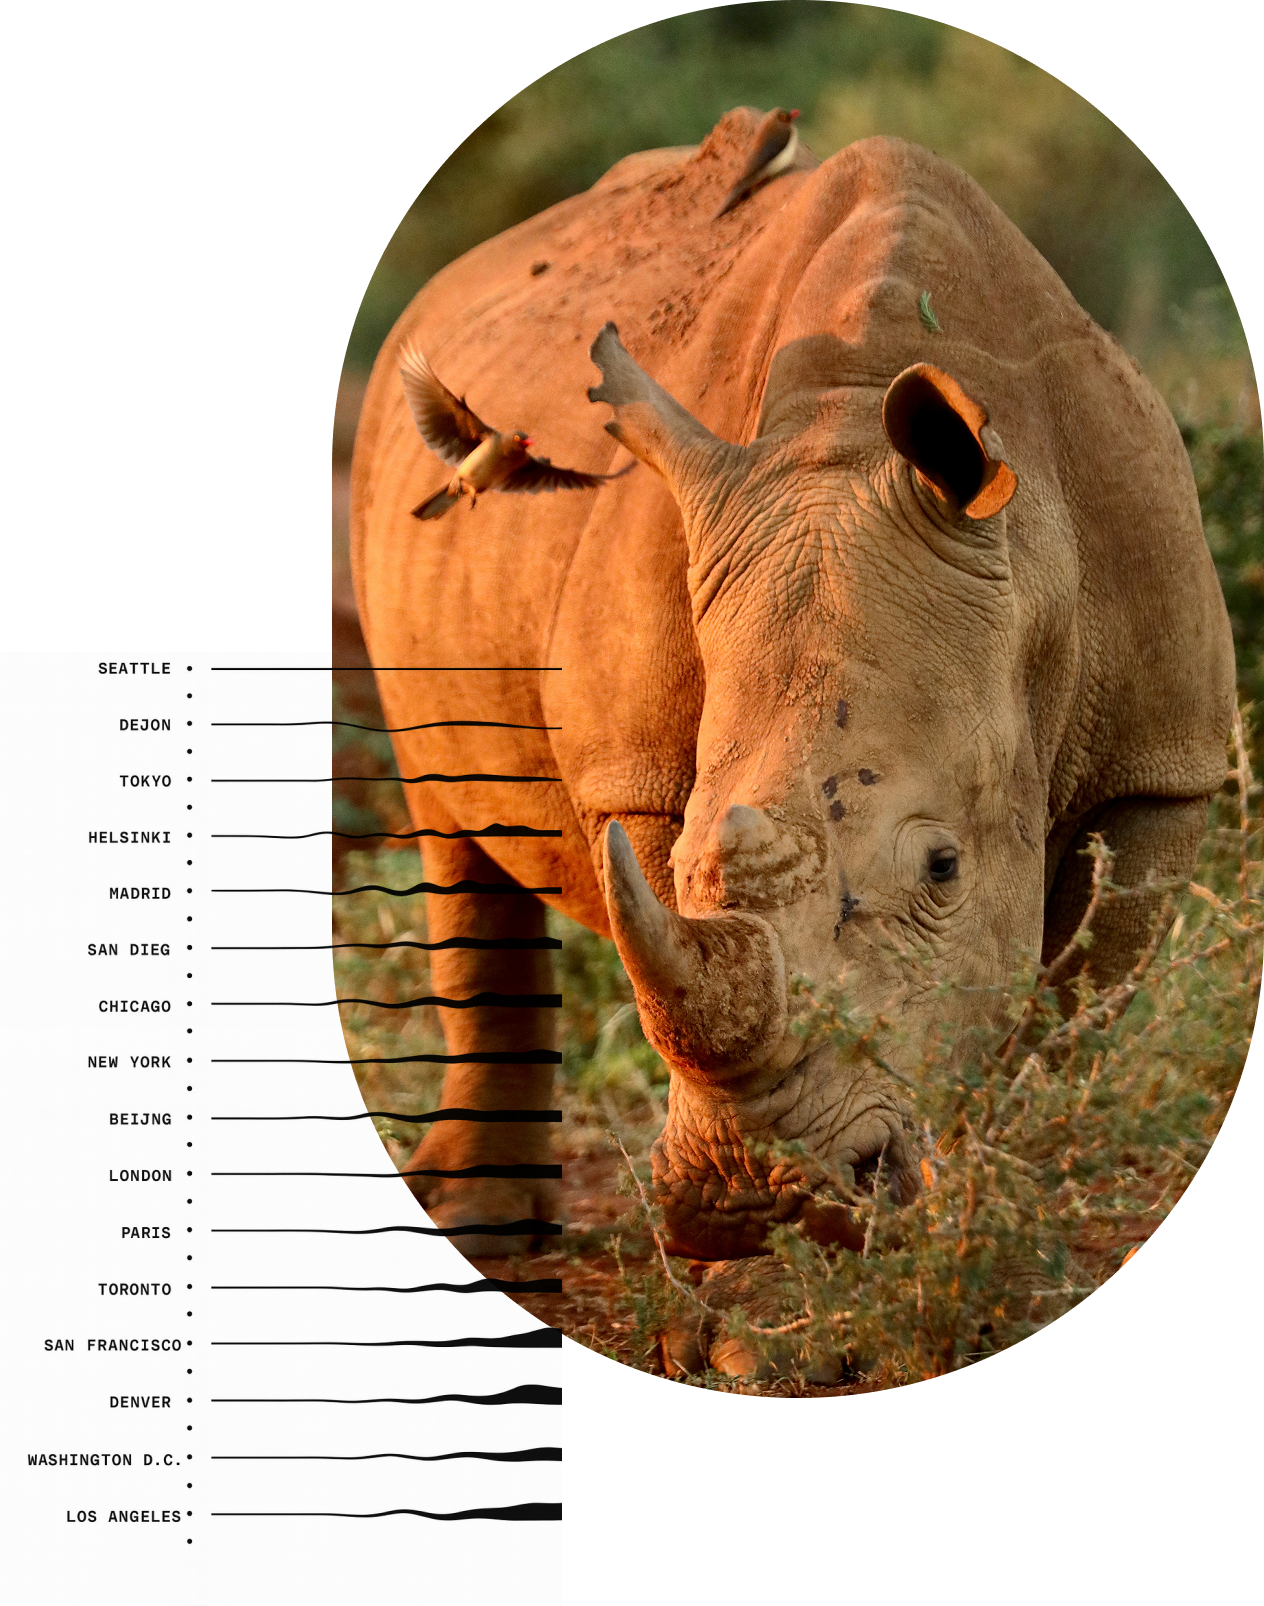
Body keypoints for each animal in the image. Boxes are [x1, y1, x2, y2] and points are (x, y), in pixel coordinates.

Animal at [349, 109, 1235, 1264]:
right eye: (681, 853)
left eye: (943, 868)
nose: (746, 1196)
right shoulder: (638, 776)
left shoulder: (1162, 764)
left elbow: (1065, 1010)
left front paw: (993, 1225)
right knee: (446, 816)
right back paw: (485, 1231)